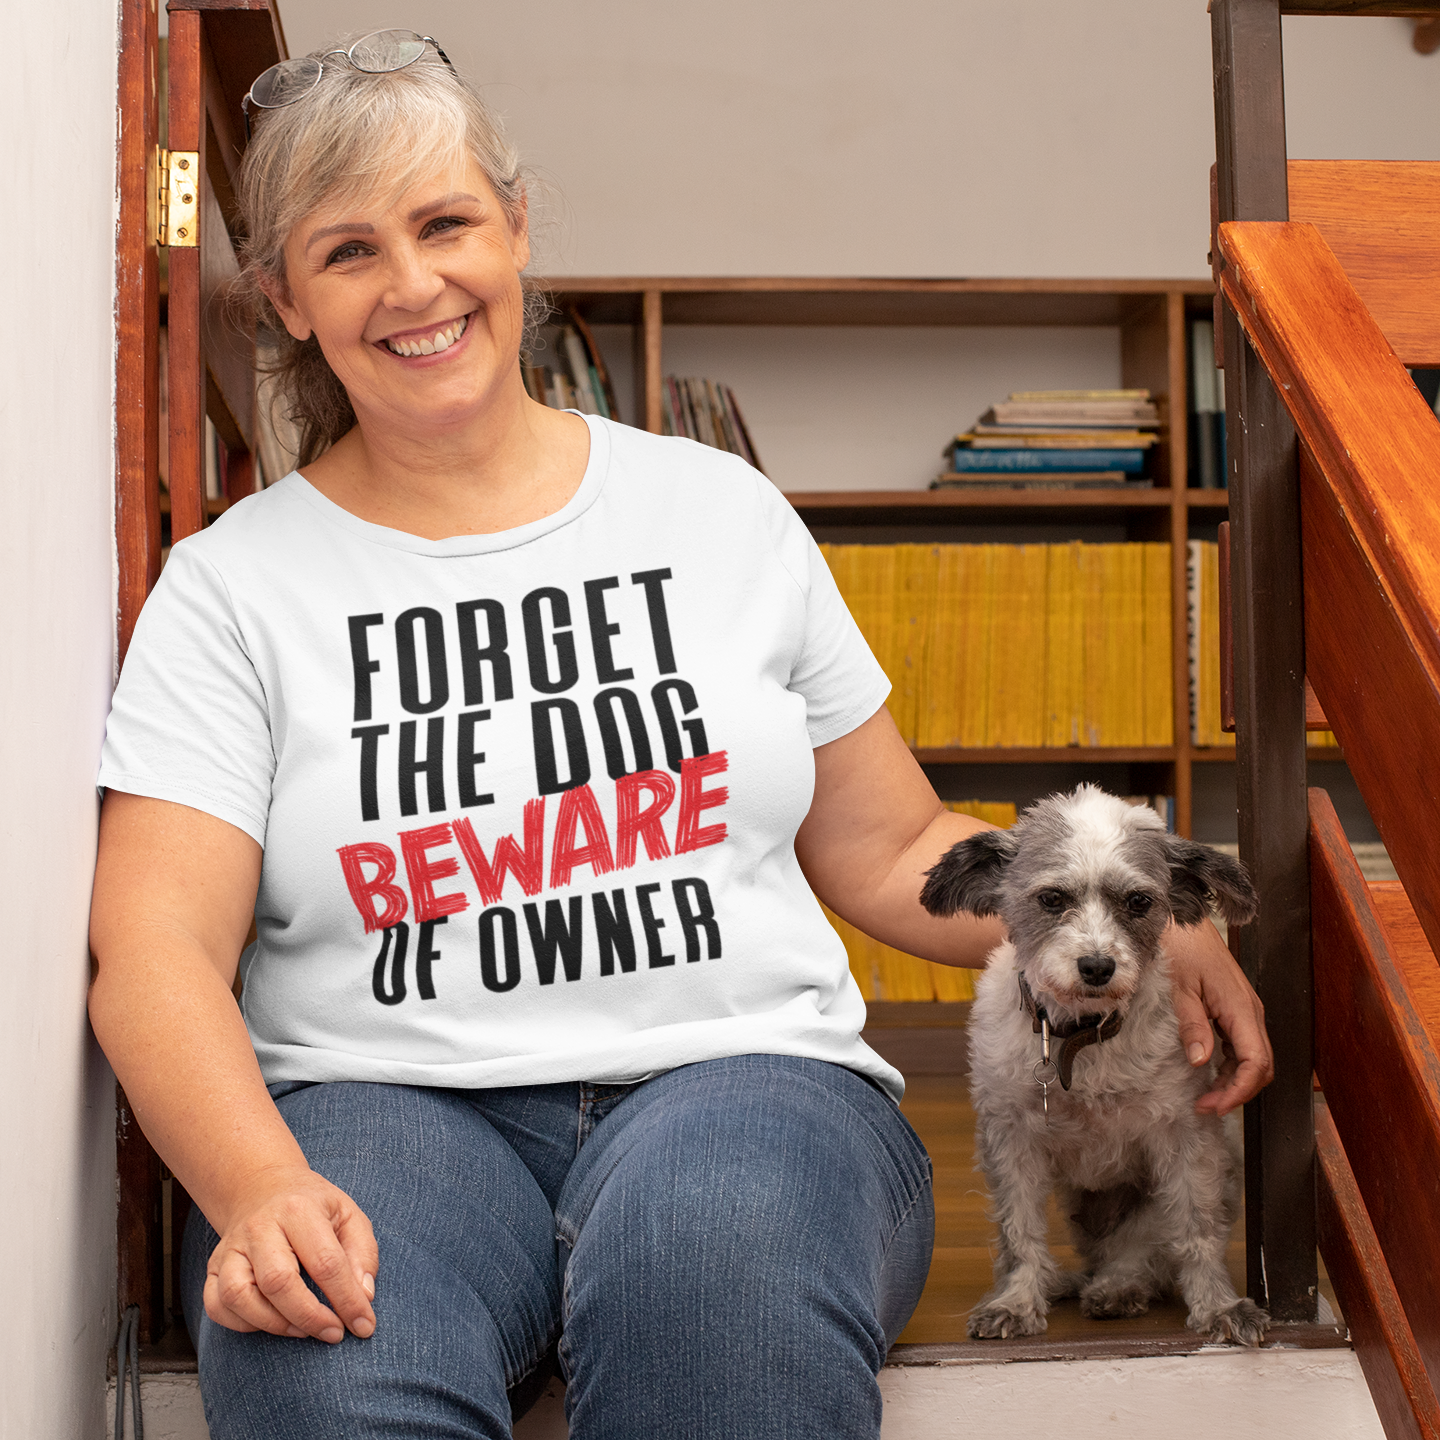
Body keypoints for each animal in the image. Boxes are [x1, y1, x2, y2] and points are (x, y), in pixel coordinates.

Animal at [921, 783, 1272, 1342]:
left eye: (1139, 901)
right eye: (1051, 899)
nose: (1097, 966)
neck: (1080, 1041)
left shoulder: (1187, 1139)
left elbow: (1196, 1229)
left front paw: (1219, 1306)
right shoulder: (1010, 1141)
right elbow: (1018, 1233)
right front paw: (1017, 1301)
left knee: (1142, 1255)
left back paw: (1118, 1287)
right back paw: (1065, 1283)